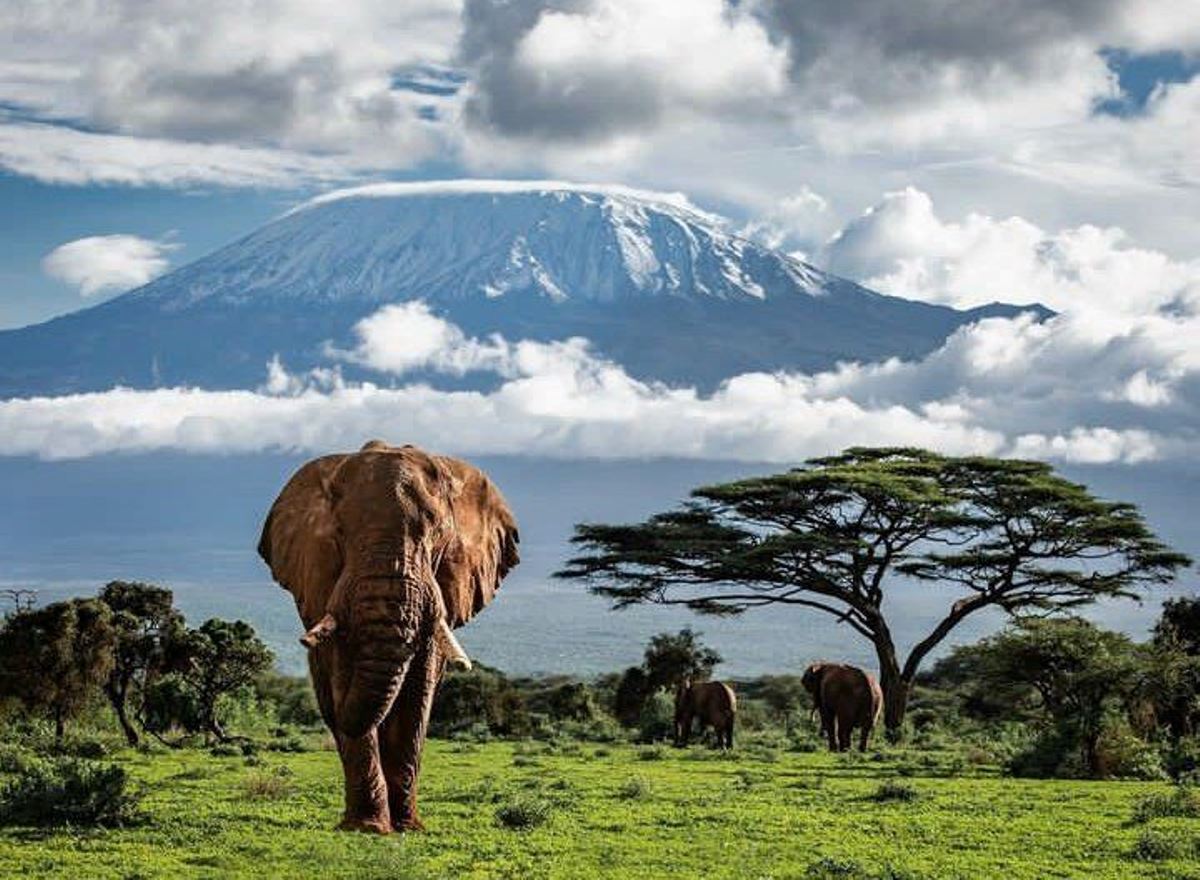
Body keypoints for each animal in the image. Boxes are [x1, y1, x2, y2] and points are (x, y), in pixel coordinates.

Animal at [258, 439, 520, 830]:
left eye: (437, 536)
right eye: (340, 534)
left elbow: (418, 690)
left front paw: (408, 828)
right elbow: (343, 673)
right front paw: (369, 828)